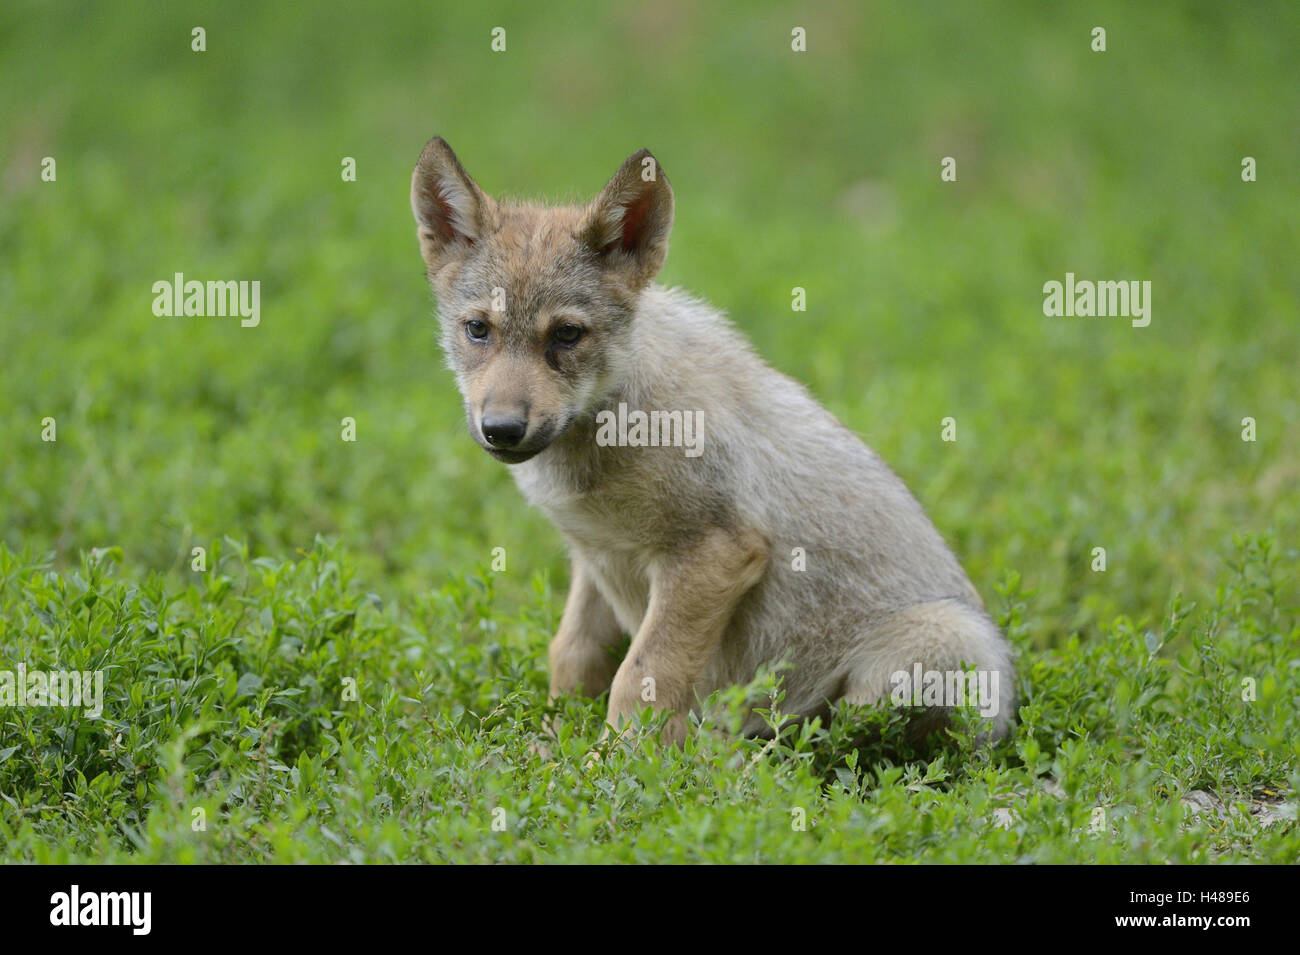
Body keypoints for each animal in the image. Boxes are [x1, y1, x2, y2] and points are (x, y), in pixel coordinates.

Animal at [410, 137, 1015, 745]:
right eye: (478, 330)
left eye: (566, 335)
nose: (501, 429)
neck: (609, 426)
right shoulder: (594, 556)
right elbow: (572, 655)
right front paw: (558, 741)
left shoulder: (712, 553)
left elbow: (642, 675)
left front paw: (618, 761)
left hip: (925, 652)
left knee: (825, 734)